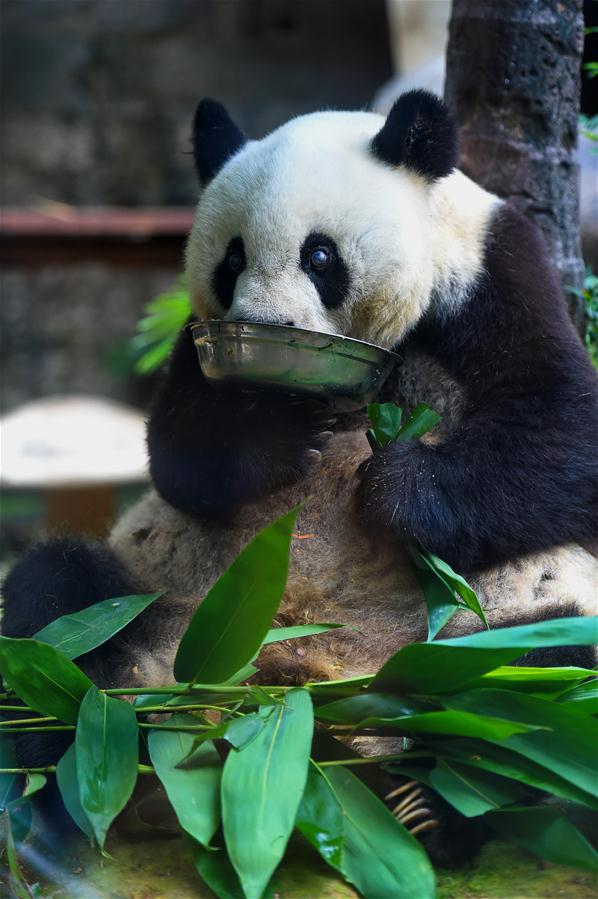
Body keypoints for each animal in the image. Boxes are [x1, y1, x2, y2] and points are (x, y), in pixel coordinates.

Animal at [3, 91, 598, 862]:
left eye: (320, 256)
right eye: (231, 261)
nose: (266, 324)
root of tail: (291, 694)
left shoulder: (494, 271)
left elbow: (564, 426)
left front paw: (396, 491)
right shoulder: (199, 335)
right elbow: (176, 450)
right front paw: (279, 434)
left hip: (479, 633)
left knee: (532, 679)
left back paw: (432, 806)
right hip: (155, 601)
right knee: (53, 606)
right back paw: (73, 768)